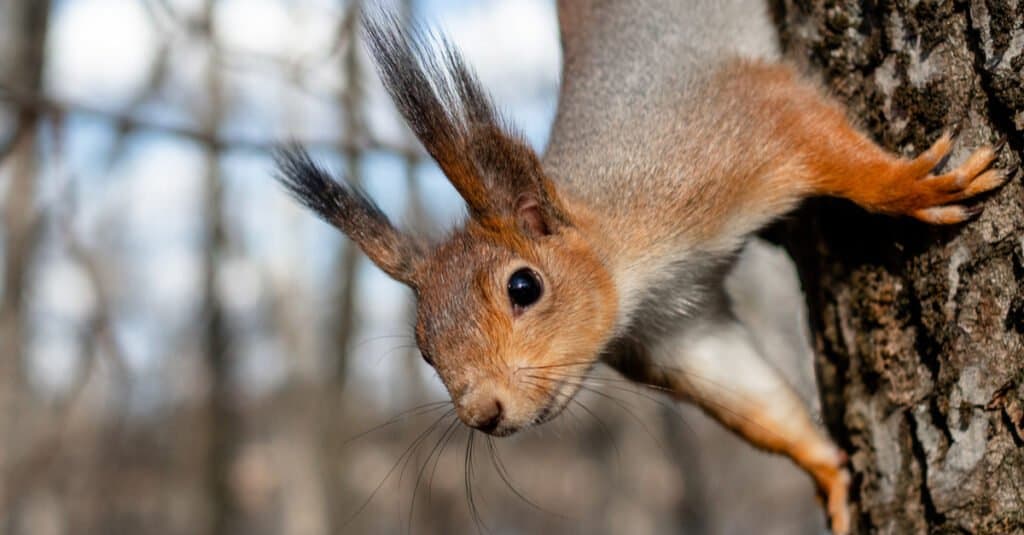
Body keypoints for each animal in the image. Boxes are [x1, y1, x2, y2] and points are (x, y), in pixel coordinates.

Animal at [274, 2, 1007, 528]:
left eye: (523, 285)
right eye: (425, 351)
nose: (483, 413)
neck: (632, 265)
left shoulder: (738, 126)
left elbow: (825, 147)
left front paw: (913, 188)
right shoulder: (675, 335)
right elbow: (751, 399)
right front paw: (827, 470)